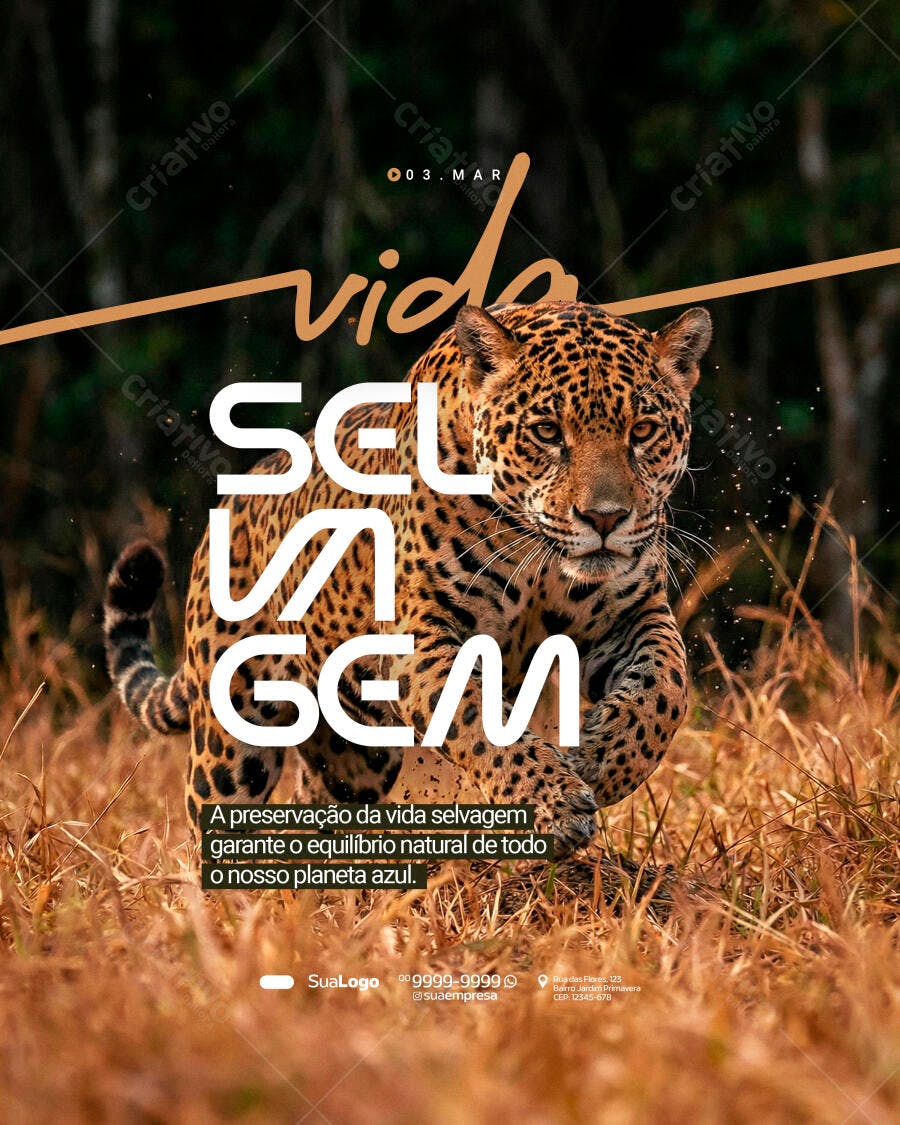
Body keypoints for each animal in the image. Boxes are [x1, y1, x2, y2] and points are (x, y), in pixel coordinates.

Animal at [104, 299, 711, 857]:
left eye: (643, 431)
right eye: (546, 431)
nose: (605, 519)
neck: (536, 551)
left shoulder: (633, 614)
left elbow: (665, 688)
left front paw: (598, 762)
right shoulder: (420, 639)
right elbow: (479, 719)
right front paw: (553, 802)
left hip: (356, 753)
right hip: (232, 732)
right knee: (214, 820)